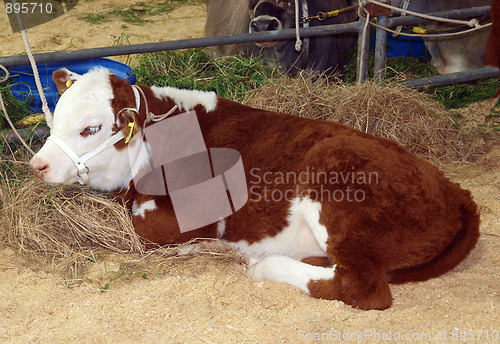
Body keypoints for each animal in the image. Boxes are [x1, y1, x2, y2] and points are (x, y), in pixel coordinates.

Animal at [30, 68, 480, 310]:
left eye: (91, 128)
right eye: (55, 116)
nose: (38, 165)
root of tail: (458, 192)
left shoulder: (180, 219)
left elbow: (141, 234)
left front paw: (199, 248)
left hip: (332, 177)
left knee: (361, 286)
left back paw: (264, 264)